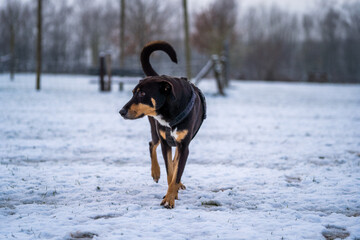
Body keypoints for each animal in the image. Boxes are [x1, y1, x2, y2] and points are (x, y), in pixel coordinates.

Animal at [120, 41, 207, 208]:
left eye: (142, 93)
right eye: (133, 92)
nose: (121, 111)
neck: (169, 113)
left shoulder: (184, 145)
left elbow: (176, 171)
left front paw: (170, 198)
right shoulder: (165, 142)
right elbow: (170, 173)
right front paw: (169, 196)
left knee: (173, 158)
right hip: (155, 131)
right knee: (152, 144)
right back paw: (156, 172)